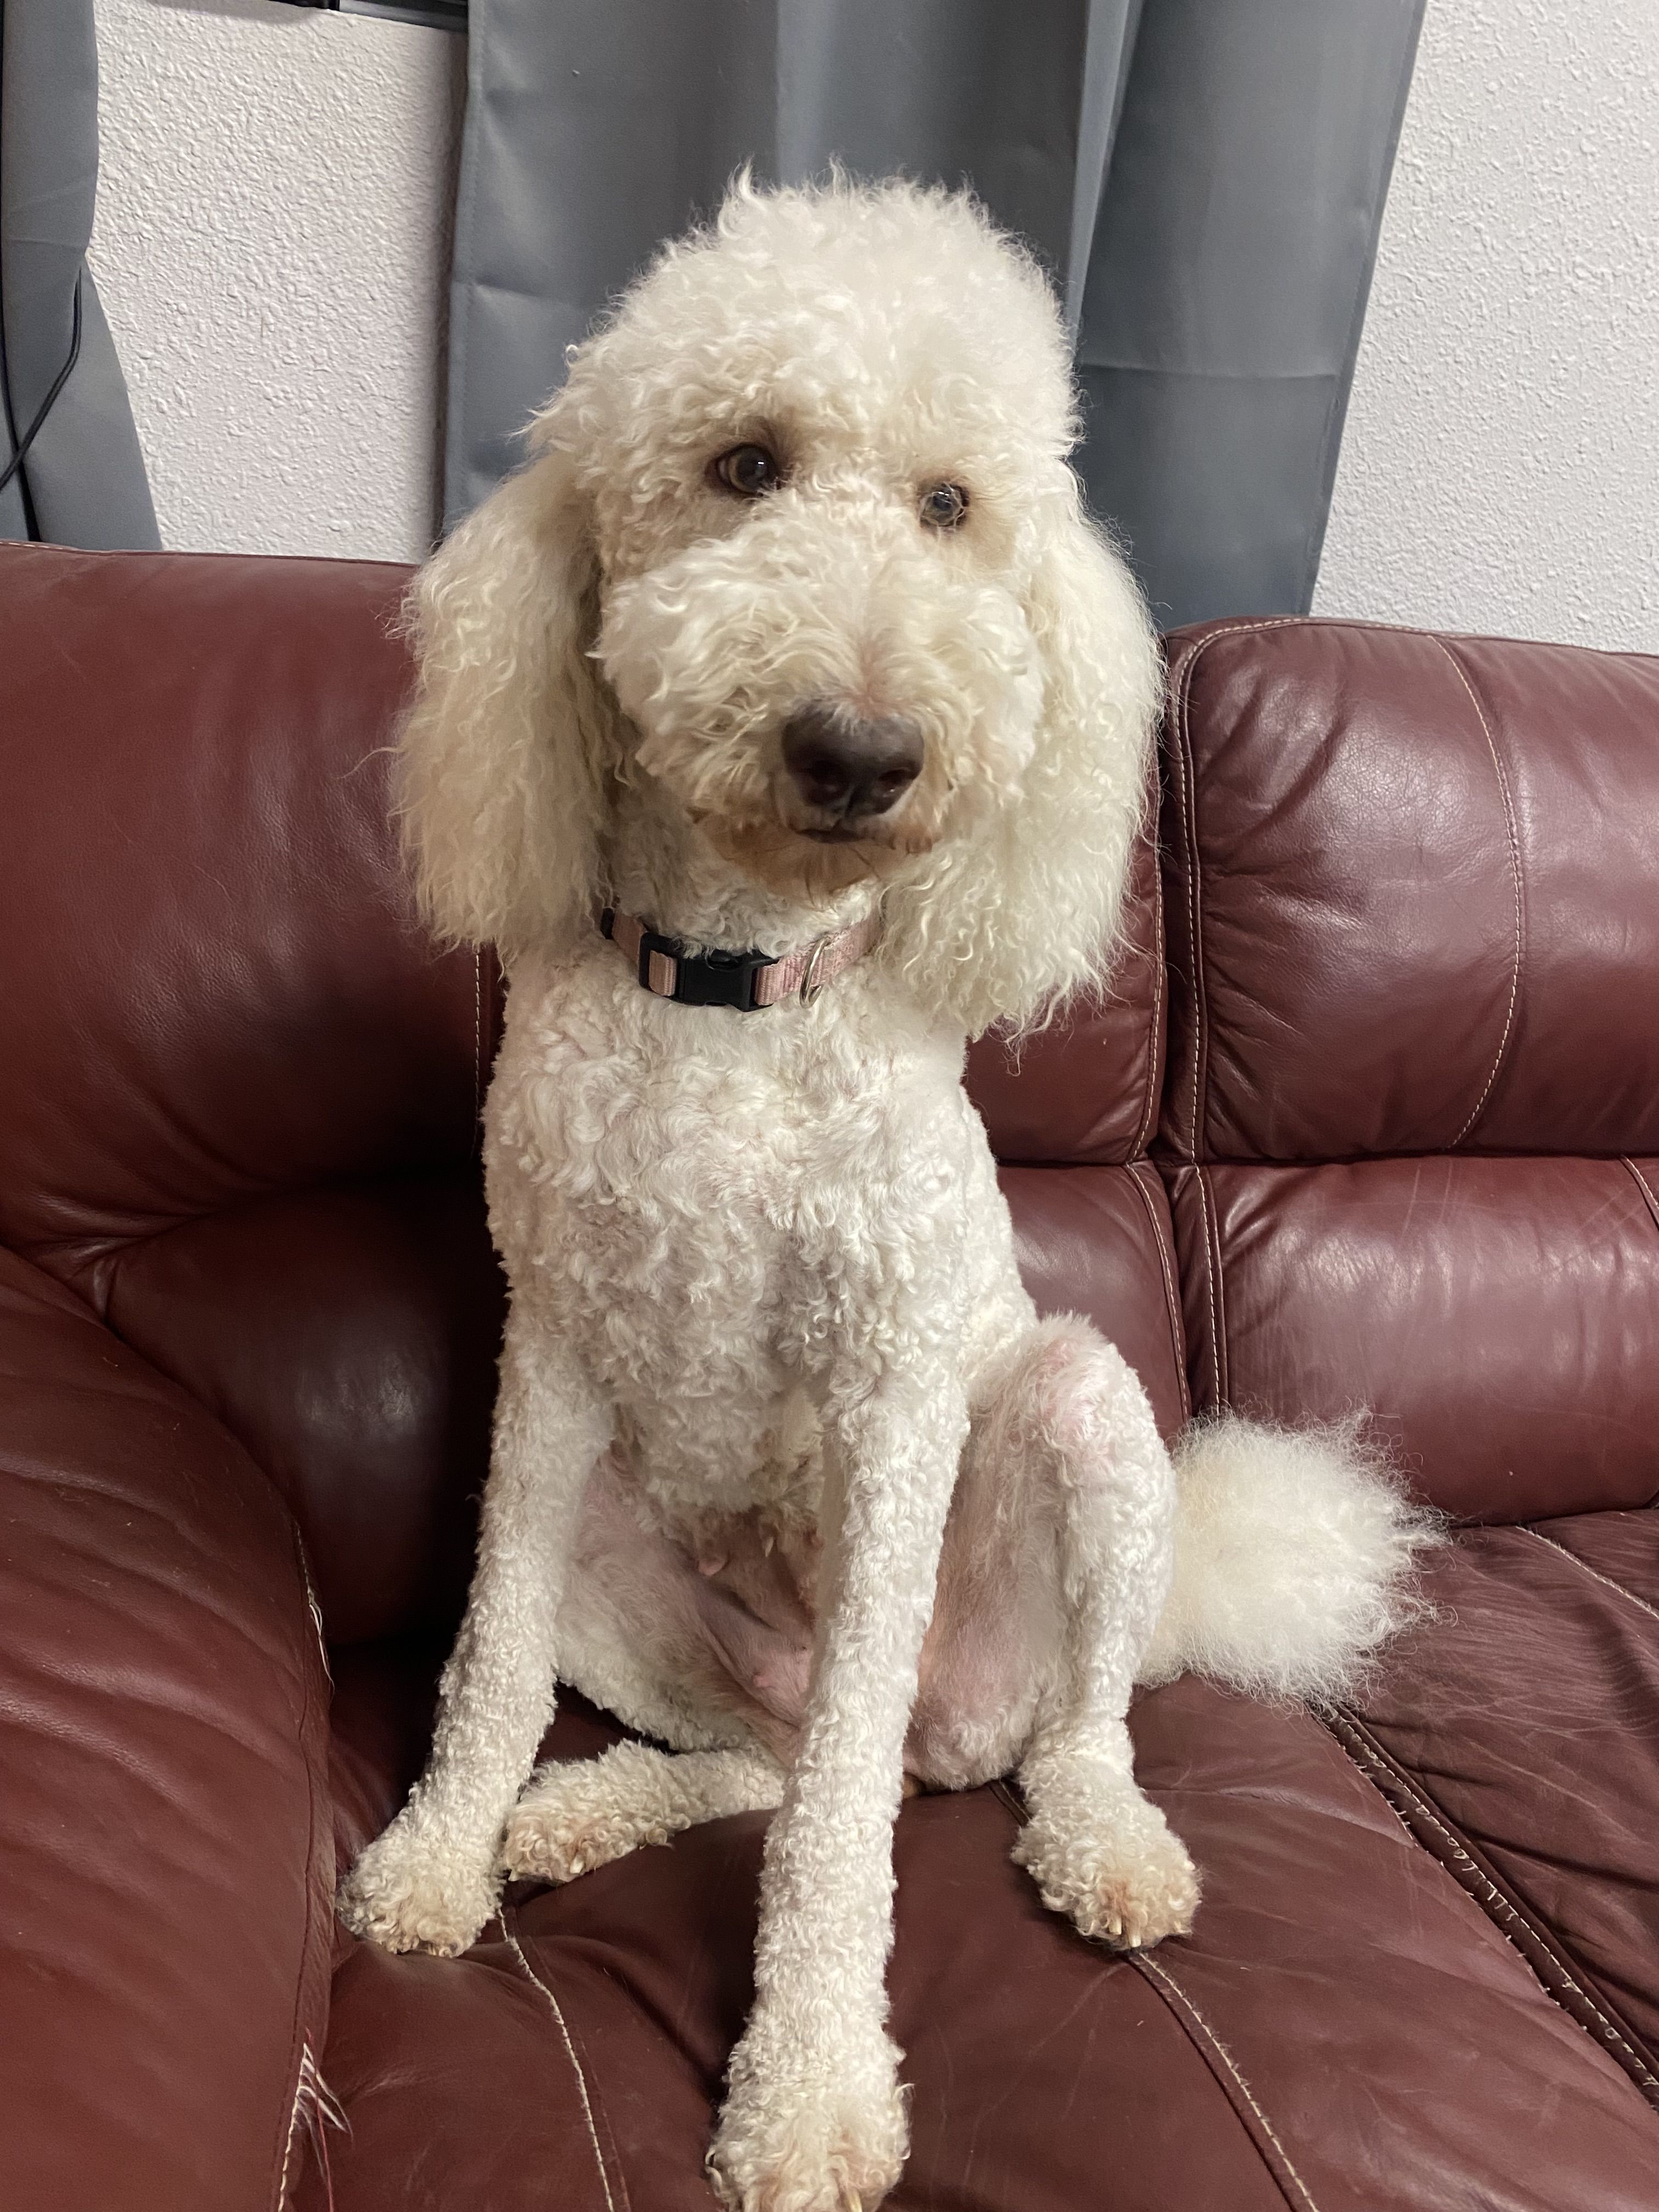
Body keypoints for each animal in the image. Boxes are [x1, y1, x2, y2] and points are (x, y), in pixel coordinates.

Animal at [338, 175, 1429, 2212]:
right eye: (742, 466)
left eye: (947, 505)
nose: (861, 753)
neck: (734, 986)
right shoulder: (552, 1367)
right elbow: (489, 1661)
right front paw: (439, 1853)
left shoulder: (889, 1399)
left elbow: (842, 1835)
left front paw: (815, 2092)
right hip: (627, 1568)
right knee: (762, 1760)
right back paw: (576, 1811)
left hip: (1075, 1430)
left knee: (1034, 1736)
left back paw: (1106, 1844)